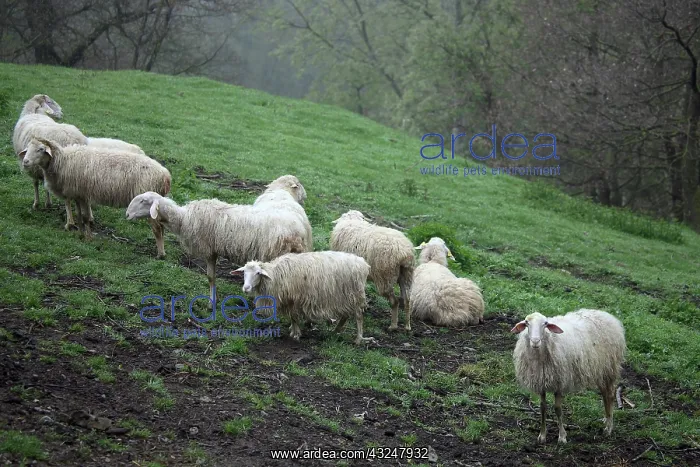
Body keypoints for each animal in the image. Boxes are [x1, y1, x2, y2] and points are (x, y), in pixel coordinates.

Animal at [19, 138, 171, 258]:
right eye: (28, 148)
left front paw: (88, 238)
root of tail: (166, 176)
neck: (62, 161)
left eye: (41, 149)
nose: (25, 161)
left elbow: (86, 217)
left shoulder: (84, 194)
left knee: (158, 229)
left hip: (148, 206)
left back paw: (161, 254)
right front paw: (80, 234)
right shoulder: (78, 194)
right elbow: (79, 216)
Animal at [125, 187, 311, 302]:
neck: (183, 218)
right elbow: (212, 277)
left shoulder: (208, 249)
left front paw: (211, 302)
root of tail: (301, 230)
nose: (126, 214)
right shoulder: (213, 250)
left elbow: (210, 277)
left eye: (143, 201)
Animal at [232, 251, 376, 345]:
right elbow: (292, 317)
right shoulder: (289, 300)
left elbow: (294, 317)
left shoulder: (295, 298)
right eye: (244, 272)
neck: (275, 275)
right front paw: (293, 330)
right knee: (346, 315)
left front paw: (296, 335)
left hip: (354, 294)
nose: (246, 288)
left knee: (358, 316)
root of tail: (363, 264)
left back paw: (358, 339)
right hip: (345, 297)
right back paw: (335, 331)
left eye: (258, 273)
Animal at [511, 309, 626, 444]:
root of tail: (606, 314)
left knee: (610, 395)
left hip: (610, 368)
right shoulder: (541, 382)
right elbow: (542, 408)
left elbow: (558, 409)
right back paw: (605, 418)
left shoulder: (560, 382)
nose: (535, 341)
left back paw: (608, 427)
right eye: (526, 323)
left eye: (545, 324)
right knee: (604, 395)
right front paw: (542, 435)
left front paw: (562, 436)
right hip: (600, 369)